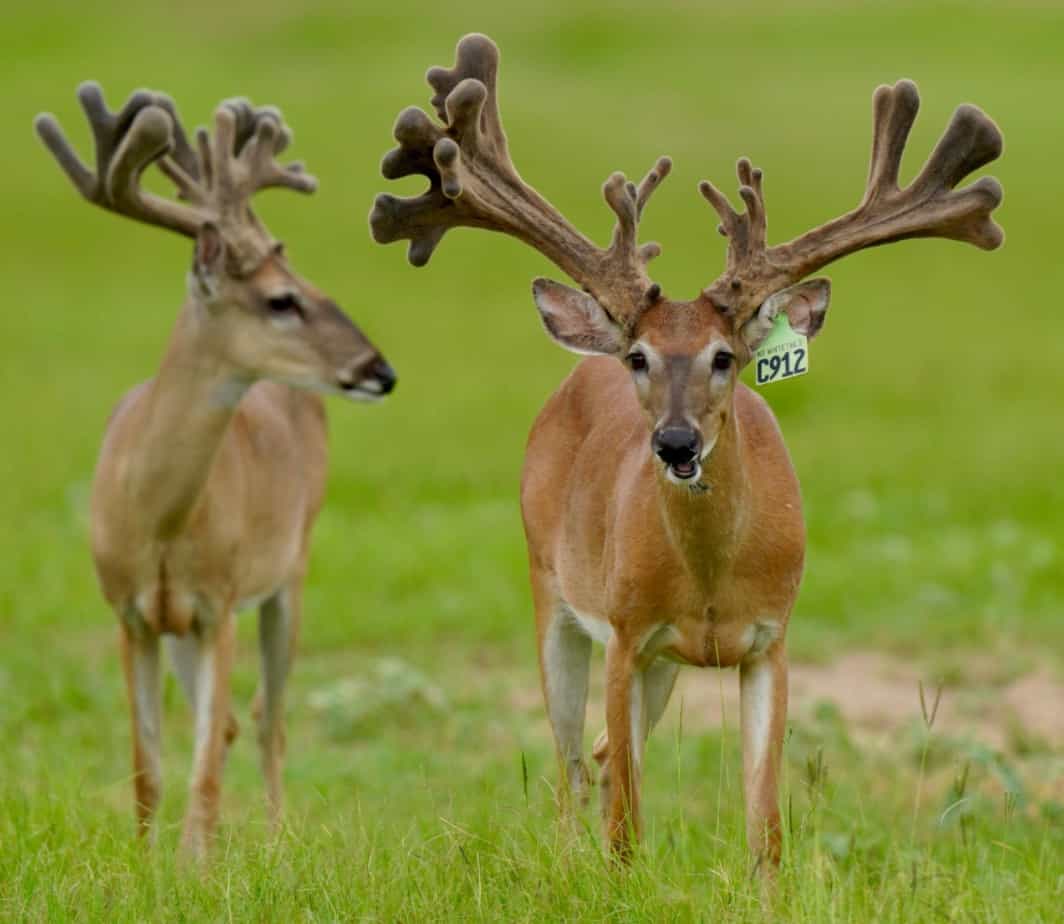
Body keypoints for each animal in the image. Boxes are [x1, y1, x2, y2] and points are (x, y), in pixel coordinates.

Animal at [35, 84, 397, 856]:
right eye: (281, 299)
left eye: (305, 280)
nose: (380, 370)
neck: (158, 520)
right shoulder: (131, 613)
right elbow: (148, 765)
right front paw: (147, 860)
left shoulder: (221, 603)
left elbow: (202, 763)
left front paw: (193, 865)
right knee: (233, 722)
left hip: (290, 574)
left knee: (269, 721)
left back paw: (275, 840)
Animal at [370, 34, 1004, 866]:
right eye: (639, 356)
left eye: (724, 356)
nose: (675, 441)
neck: (710, 581)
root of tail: (576, 369)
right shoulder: (625, 631)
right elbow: (625, 824)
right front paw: (616, 879)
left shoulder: (770, 638)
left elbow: (764, 826)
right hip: (552, 593)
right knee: (574, 766)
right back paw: (568, 860)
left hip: (658, 666)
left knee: (601, 756)